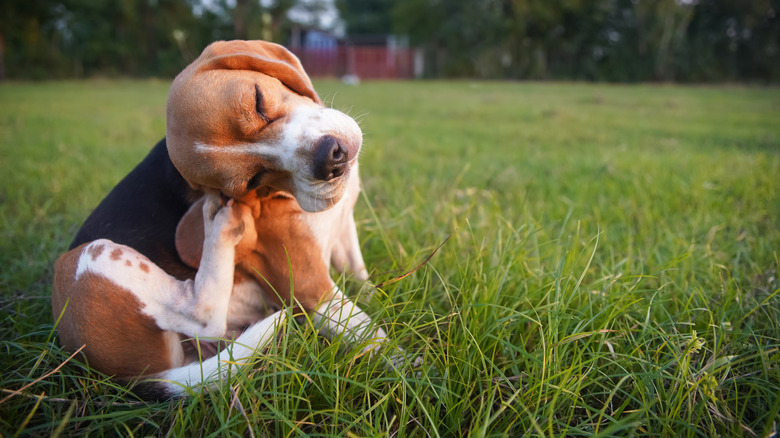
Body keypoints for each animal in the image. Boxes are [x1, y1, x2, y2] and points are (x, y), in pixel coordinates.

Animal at [51, 41, 394, 400]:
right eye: (253, 180)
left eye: (258, 101)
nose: (330, 160)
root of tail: (131, 378)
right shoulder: (311, 288)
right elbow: (377, 338)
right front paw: (409, 369)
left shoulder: (344, 232)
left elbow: (362, 280)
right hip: (88, 258)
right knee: (201, 315)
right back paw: (221, 225)